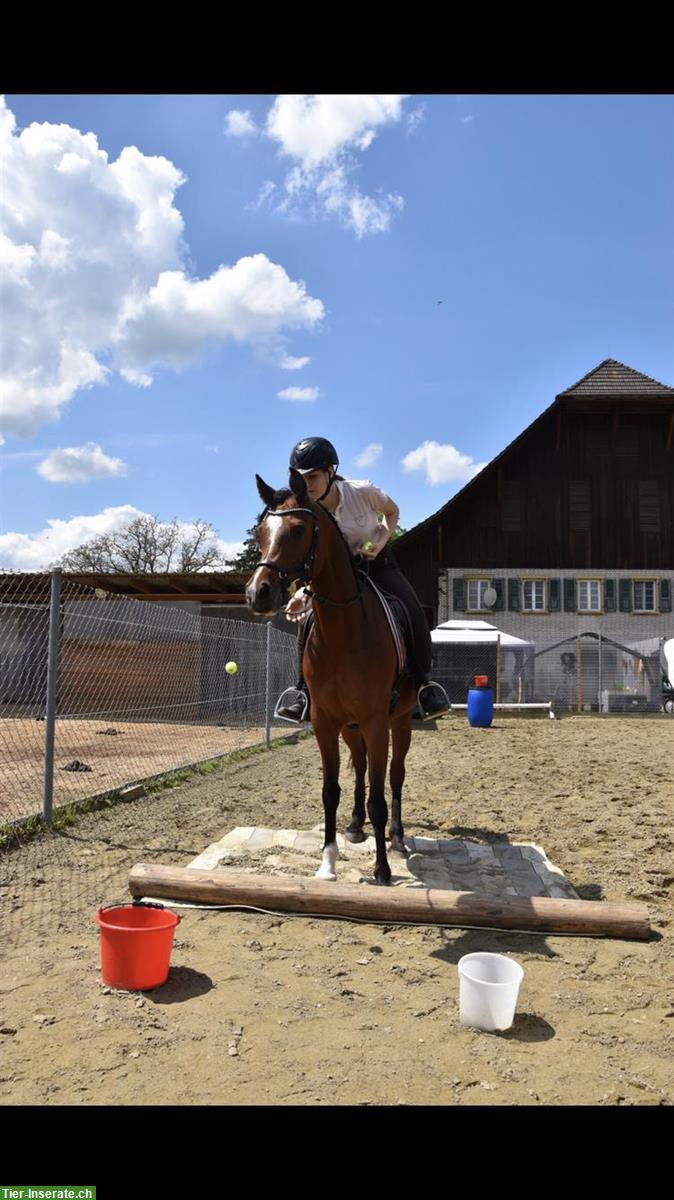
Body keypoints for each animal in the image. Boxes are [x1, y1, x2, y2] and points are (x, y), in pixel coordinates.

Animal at [243, 465, 417, 883]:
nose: (258, 594)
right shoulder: (325, 721)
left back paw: (396, 840)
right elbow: (331, 790)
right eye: (260, 533)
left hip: (400, 720)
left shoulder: (375, 721)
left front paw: (382, 870)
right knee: (360, 769)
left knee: (395, 775)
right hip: (350, 727)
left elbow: (379, 795)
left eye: (298, 530)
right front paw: (327, 861)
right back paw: (354, 826)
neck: (344, 631)